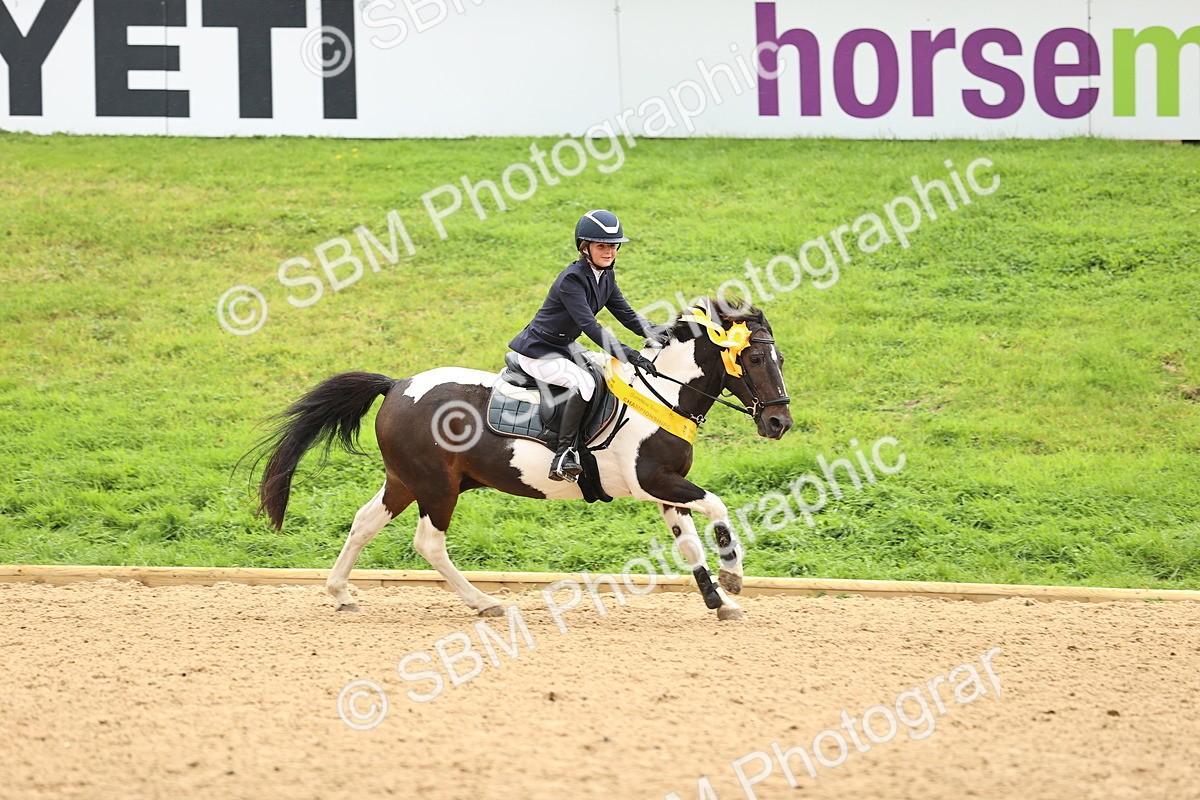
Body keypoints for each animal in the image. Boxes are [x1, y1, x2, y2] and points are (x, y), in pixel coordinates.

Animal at [252, 298, 793, 621]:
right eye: (754, 359)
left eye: (779, 359)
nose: (779, 423)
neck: (661, 396)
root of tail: (398, 385)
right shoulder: (655, 481)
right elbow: (718, 508)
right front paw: (734, 576)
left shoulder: (666, 489)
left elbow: (689, 547)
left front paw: (718, 601)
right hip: (436, 488)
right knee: (429, 542)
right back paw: (484, 601)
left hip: (405, 481)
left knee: (365, 522)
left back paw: (341, 592)